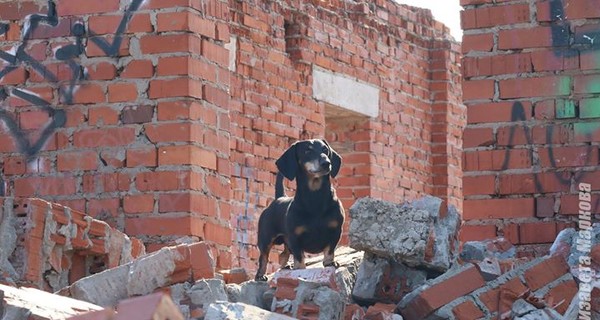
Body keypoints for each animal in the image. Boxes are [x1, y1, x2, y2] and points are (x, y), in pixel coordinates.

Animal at [255, 139, 344, 282]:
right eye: (307, 151)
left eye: (325, 150)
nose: (326, 163)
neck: (315, 200)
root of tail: (279, 198)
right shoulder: (294, 237)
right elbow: (299, 256)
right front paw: (300, 268)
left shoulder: (336, 231)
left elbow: (330, 251)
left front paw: (330, 263)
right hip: (266, 239)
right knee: (264, 257)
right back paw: (260, 275)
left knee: (283, 255)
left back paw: (286, 266)